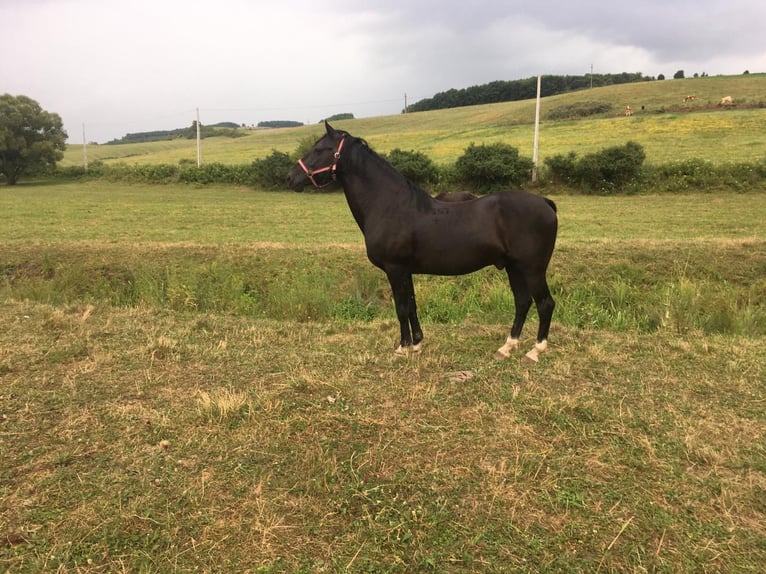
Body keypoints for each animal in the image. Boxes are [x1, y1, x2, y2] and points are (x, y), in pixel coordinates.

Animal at [288, 123, 560, 362]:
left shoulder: (395, 269)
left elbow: (401, 308)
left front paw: (402, 349)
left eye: (320, 149)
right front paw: (417, 344)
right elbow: (411, 306)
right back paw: (506, 347)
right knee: (522, 302)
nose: (291, 177)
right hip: (514, 268)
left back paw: (534, 352)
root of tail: (545, 203)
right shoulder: (405, 271)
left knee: (545, 304)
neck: (389, 205)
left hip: (533, 269)